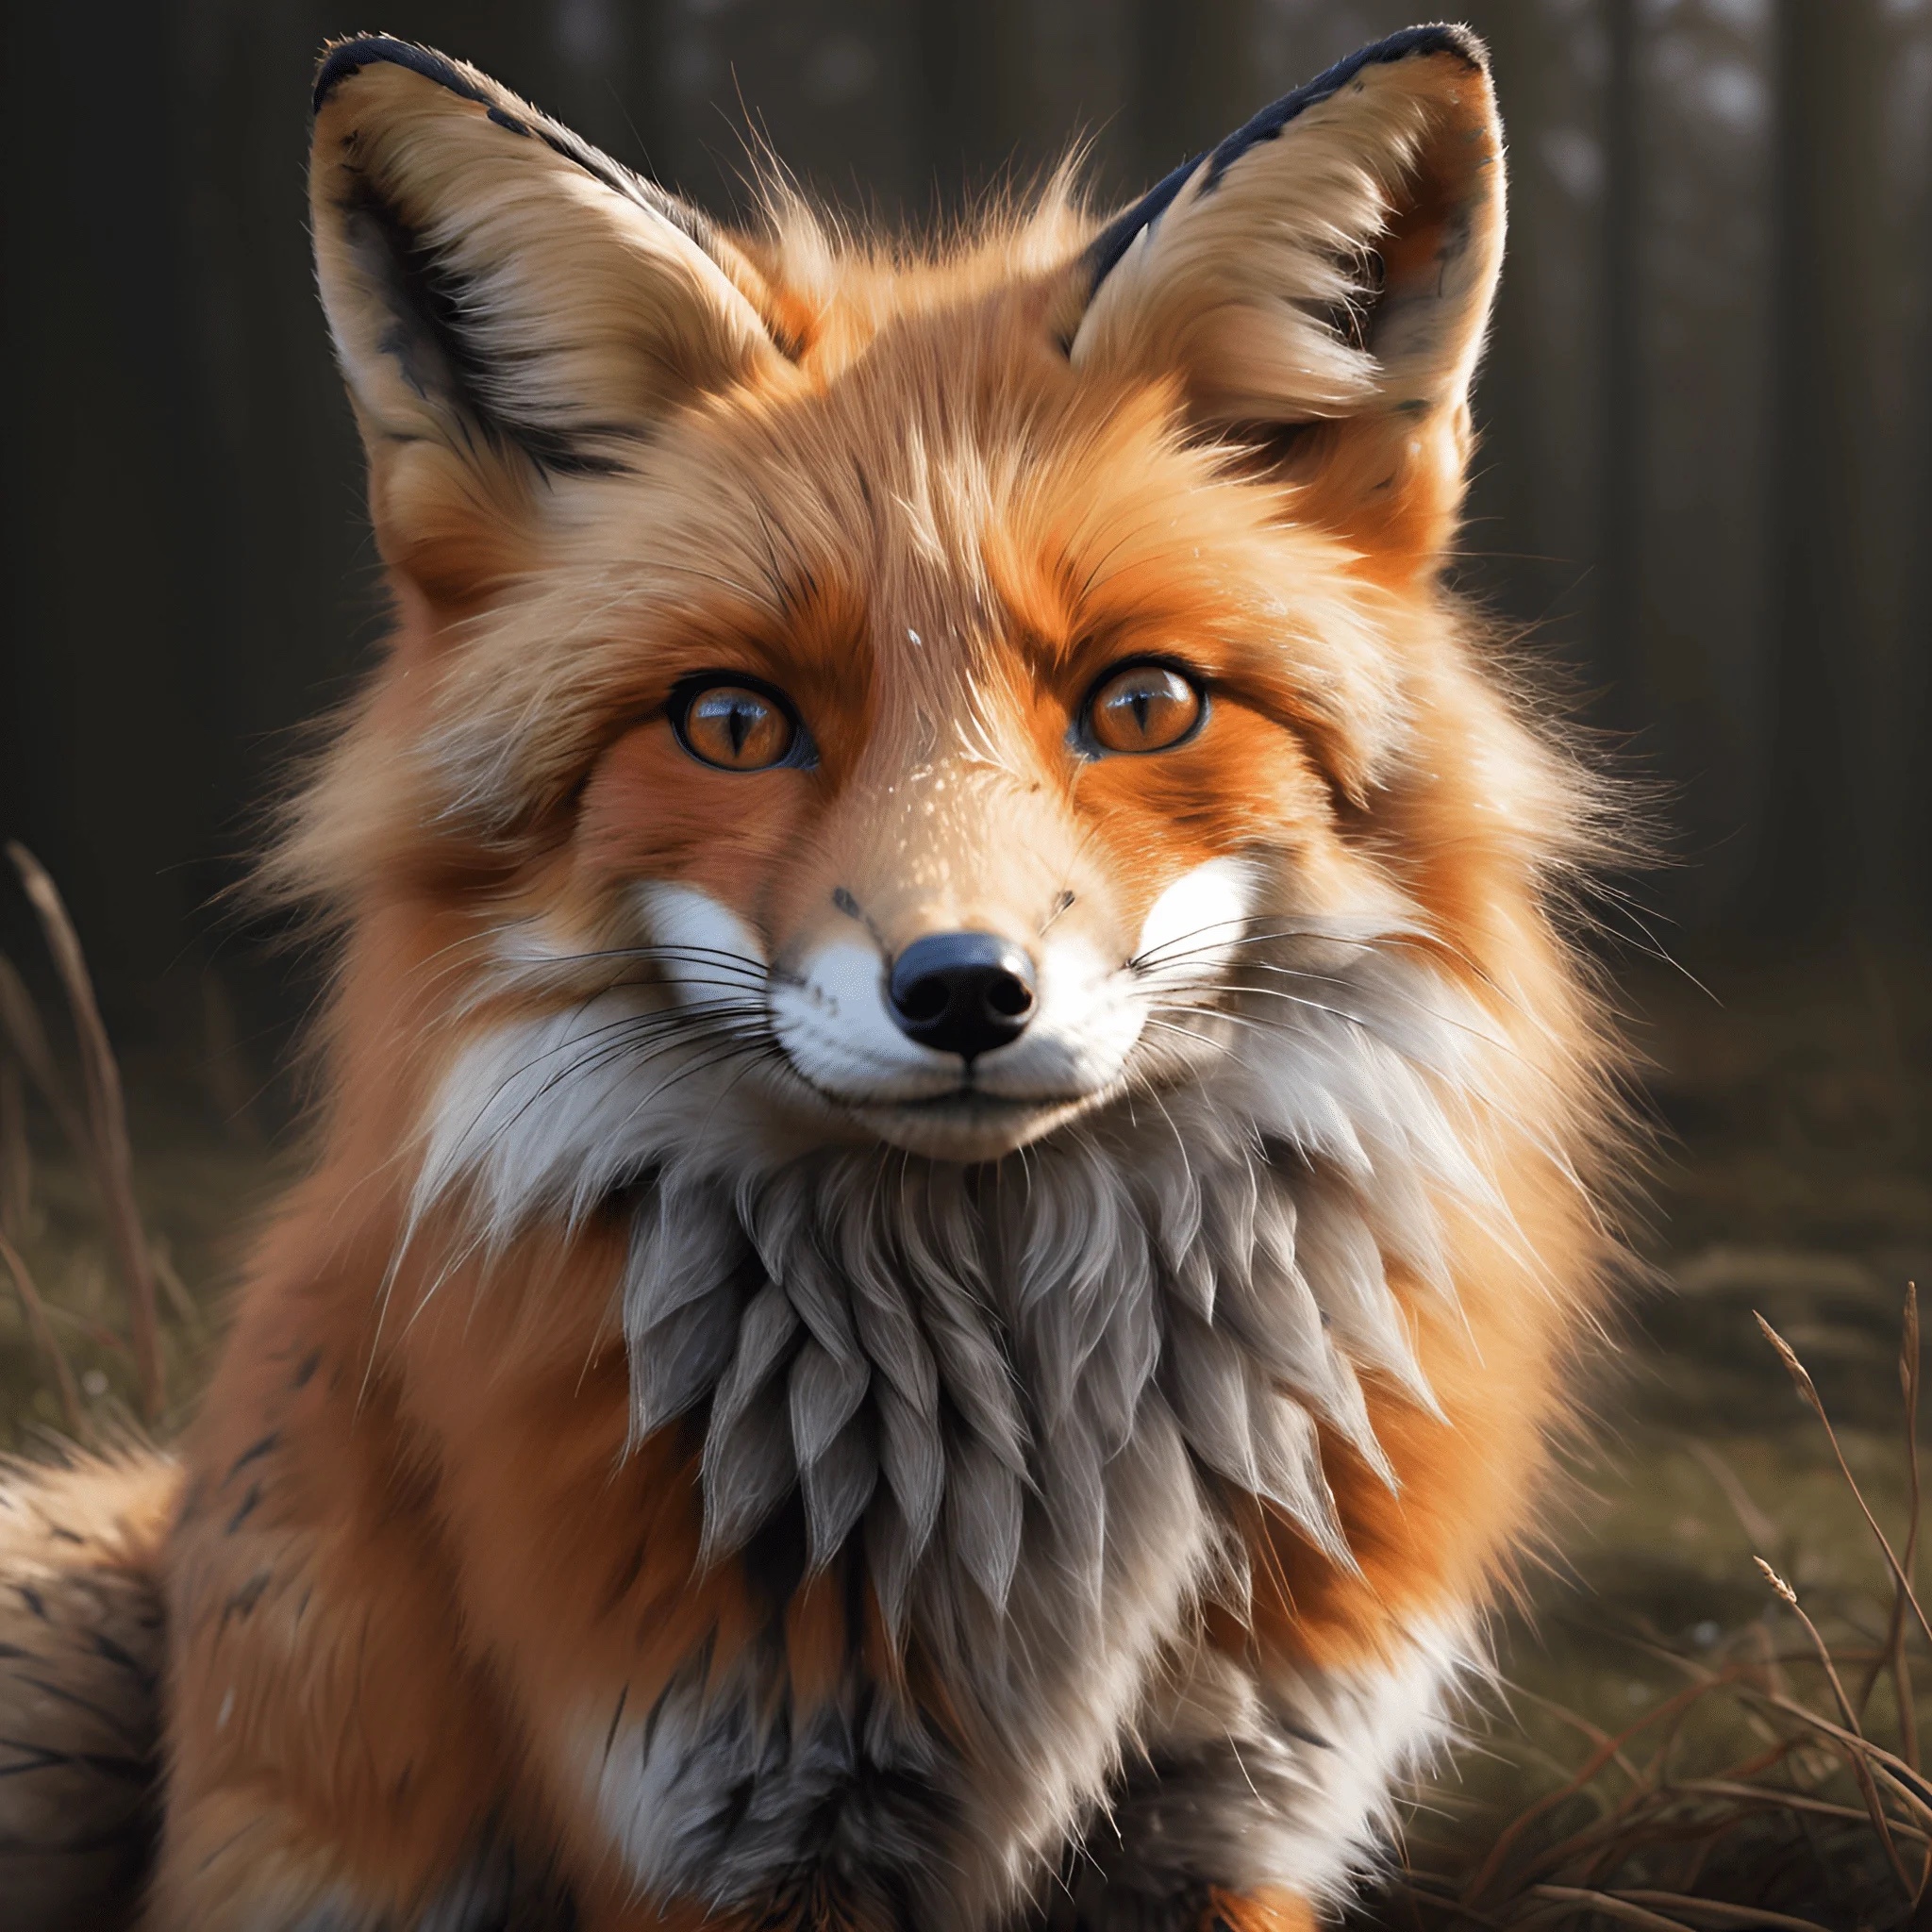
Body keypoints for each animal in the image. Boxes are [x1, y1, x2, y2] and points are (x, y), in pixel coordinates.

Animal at [0, 23, 1631, 1932]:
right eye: (731, 721)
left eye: (1144, 701)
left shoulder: (1237, 1801)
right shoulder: (710, 1806)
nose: (968, 992)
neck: (1026, 1490)